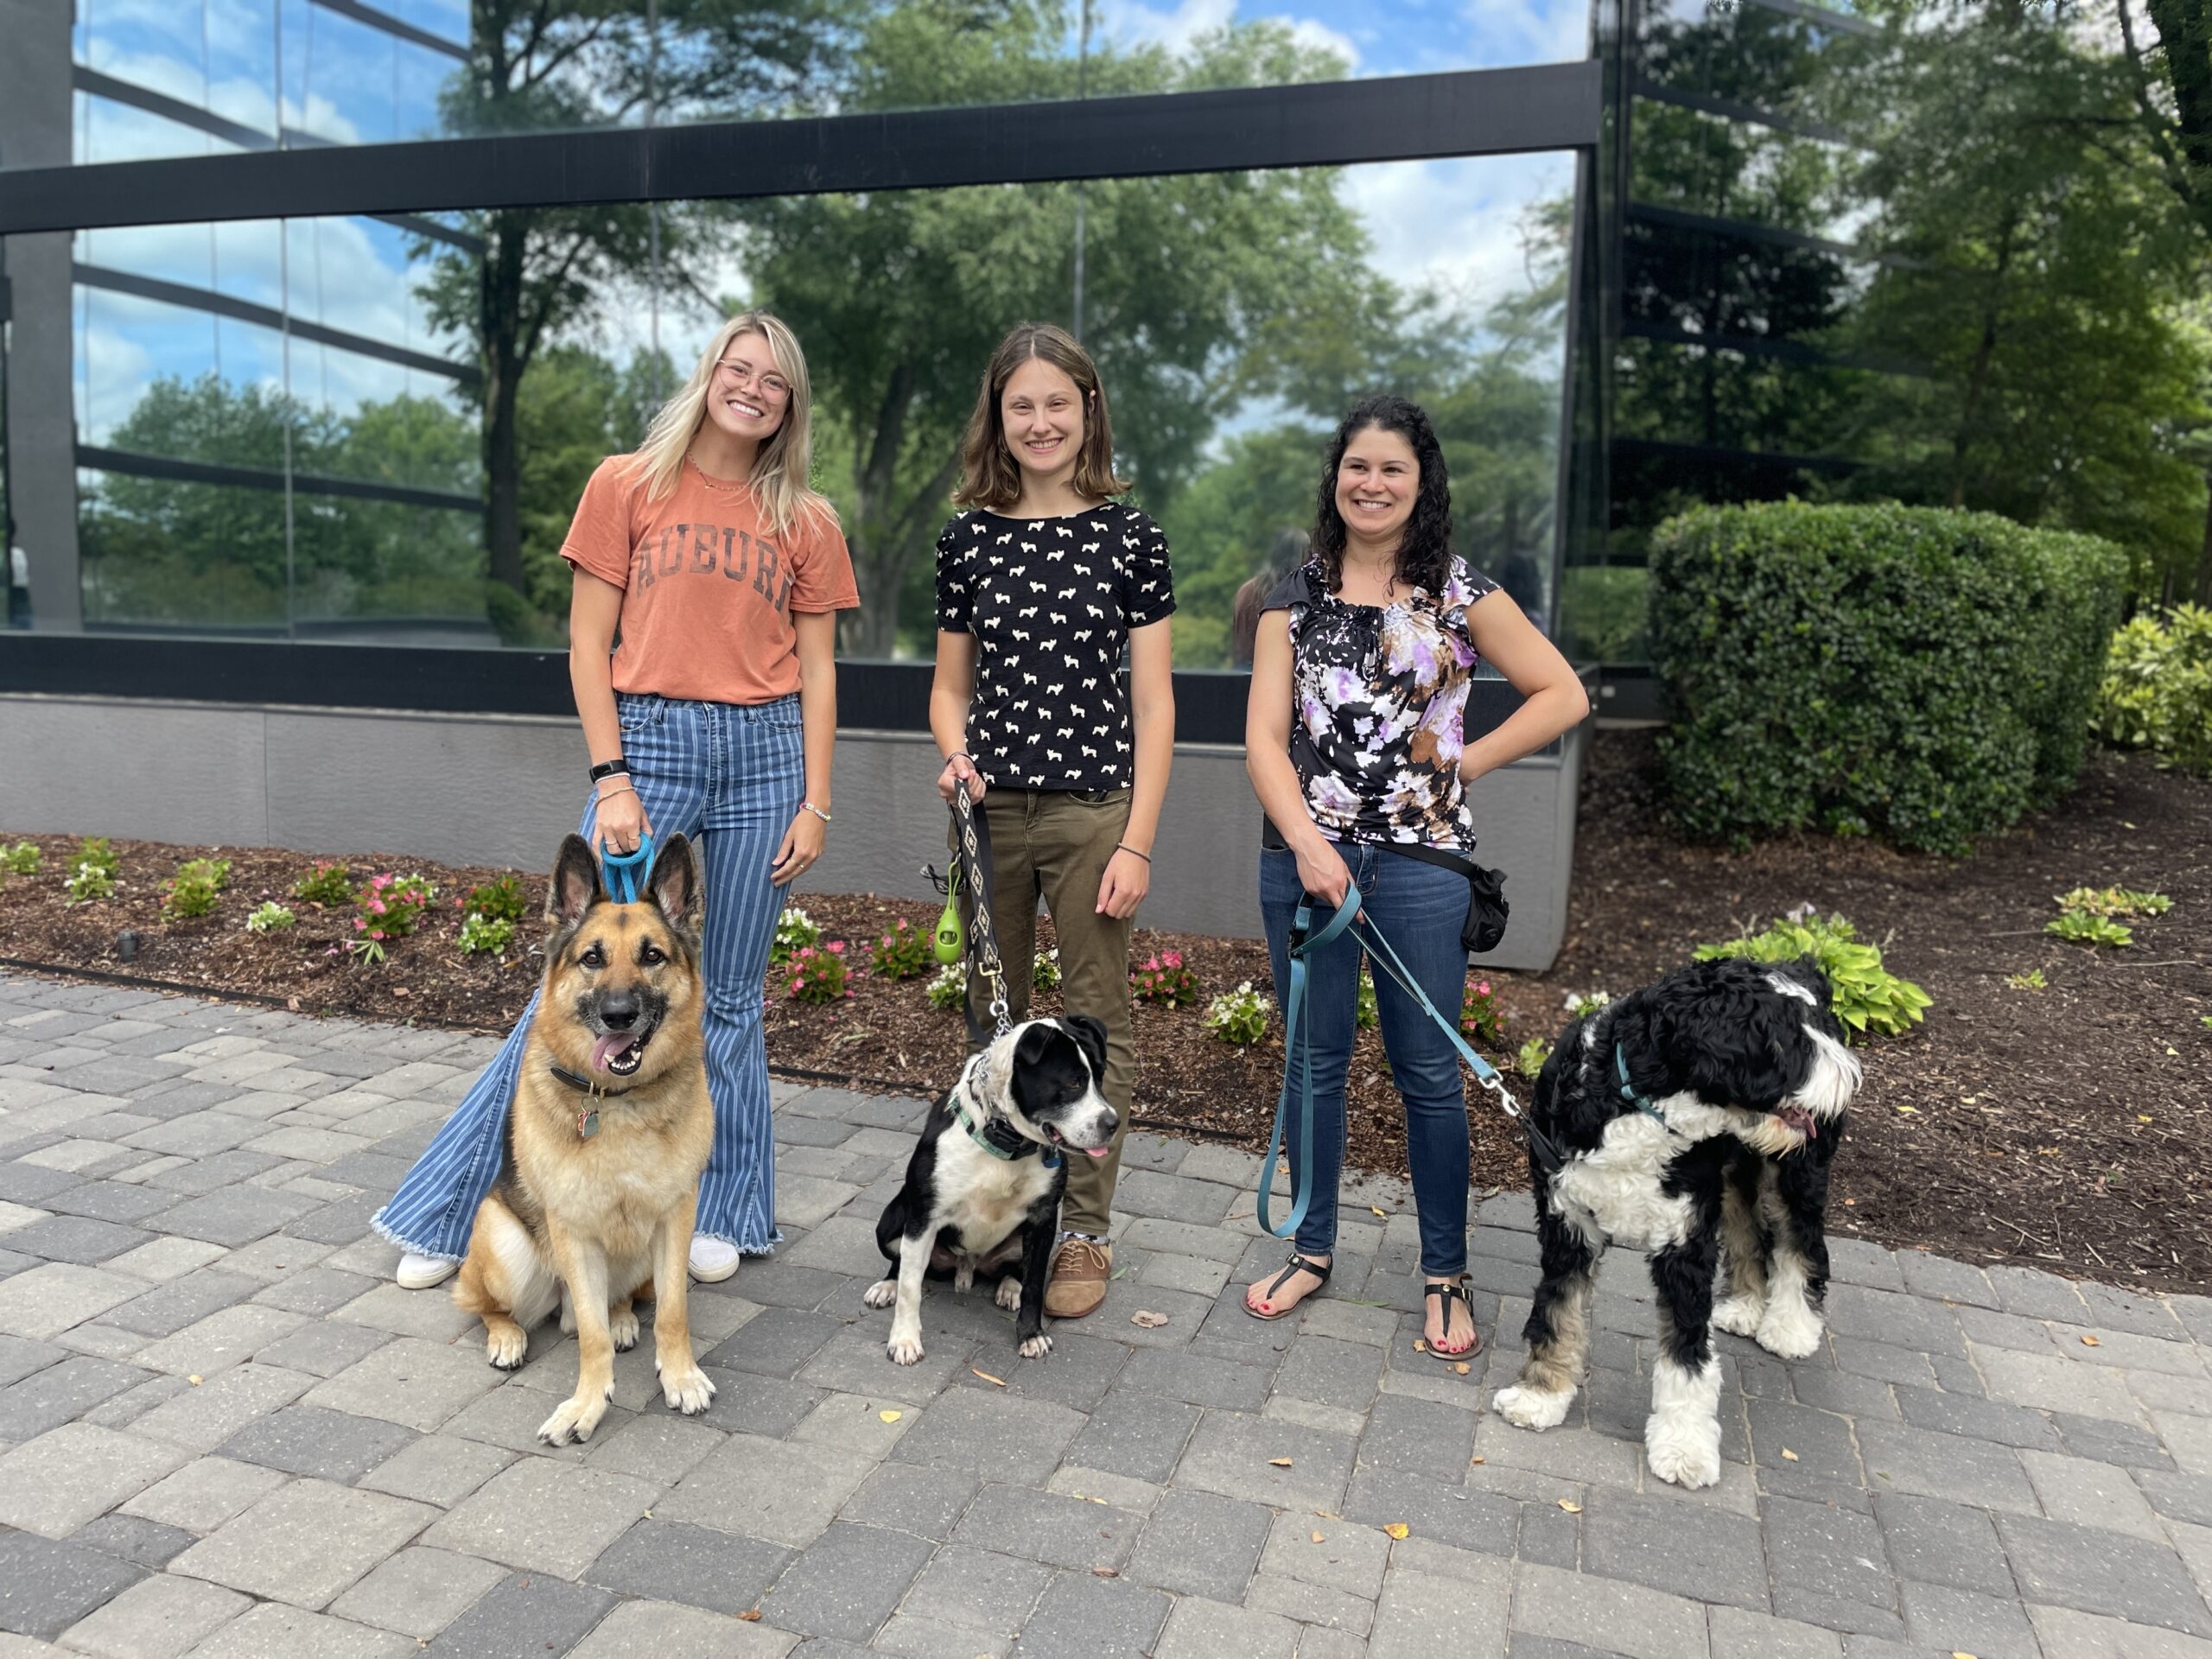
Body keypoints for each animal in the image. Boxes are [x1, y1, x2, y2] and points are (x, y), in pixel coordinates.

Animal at [451, 836, 716, 1451]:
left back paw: (621, 1317)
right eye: (592, 958)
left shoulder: (676, 1219)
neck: (615, 1103)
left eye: (652, 956)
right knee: (483, 1303)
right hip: (505, 1247)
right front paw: (587, 1405)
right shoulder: (570, 1229)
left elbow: (672, 1312)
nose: (619, 1014)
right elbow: (591, 1339)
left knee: (617, 1302)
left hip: (640, 1262)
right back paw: (507, 1336)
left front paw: (680, 1376)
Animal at [867, 1021, 1123, 1371]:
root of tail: (966, 1266)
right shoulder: (923, 1219)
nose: (1113, 1123)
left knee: (1016, 1271)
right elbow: (910, 1288)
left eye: (1100, 1078)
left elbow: (1034, 1285)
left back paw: (1010, 1288)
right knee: (901, 1263)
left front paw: (1031, 1335)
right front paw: (904, 1340)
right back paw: (887, 1286)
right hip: (891, 1222)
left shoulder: (1042, 1220)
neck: (1007, 1142)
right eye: (1073, 1082)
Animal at [1495, 960, 1858, 1495]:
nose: (1852, 1077)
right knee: (1750, 1235)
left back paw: (1791, 1327)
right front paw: (1541, 1396)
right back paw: (1746, 1307)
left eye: (1815, 1029)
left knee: (1802, 1244)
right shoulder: (1566, 1226)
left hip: (1796, 1172)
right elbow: (1556, 1314)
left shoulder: (1684, 1244)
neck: (1637, 1105)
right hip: (1734, 1174)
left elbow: (1687, 1355)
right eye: (1790, 1038)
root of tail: (1799, 961)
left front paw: (1685, 1445)